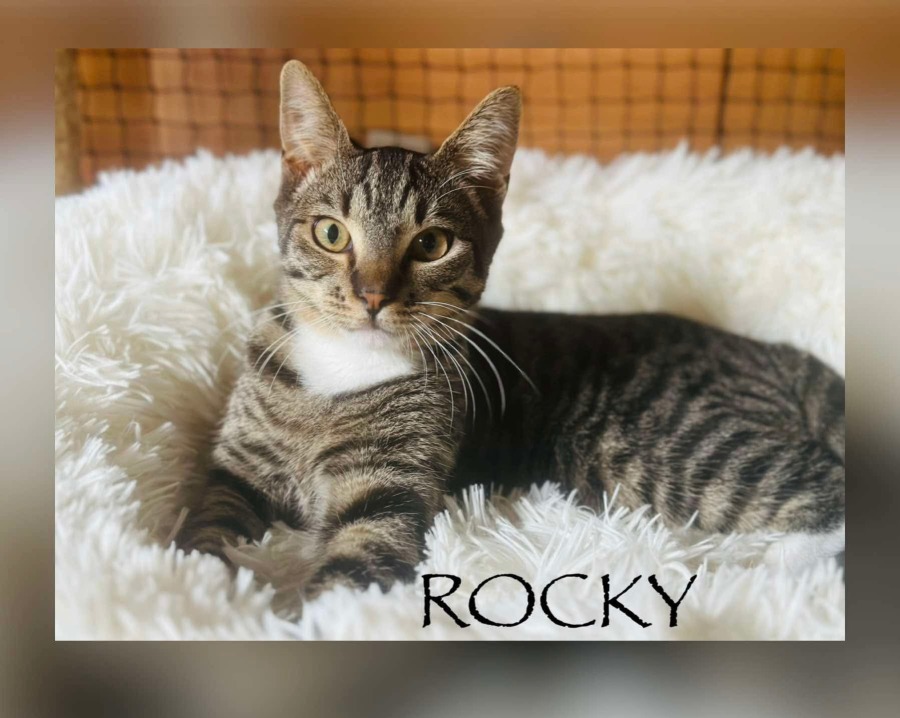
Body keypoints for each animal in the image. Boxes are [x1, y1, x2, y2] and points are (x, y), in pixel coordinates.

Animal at [177, 60, 845, 594]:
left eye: (431, 244)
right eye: (331, 233)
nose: (372, 295)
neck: (342, 369)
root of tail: (772, 352)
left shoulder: (392, 488)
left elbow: (355, 566)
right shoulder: (236, 469)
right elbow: (205, 525)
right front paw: (206, 586)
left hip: (681, 442)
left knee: (823, 482)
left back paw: (776, 574)